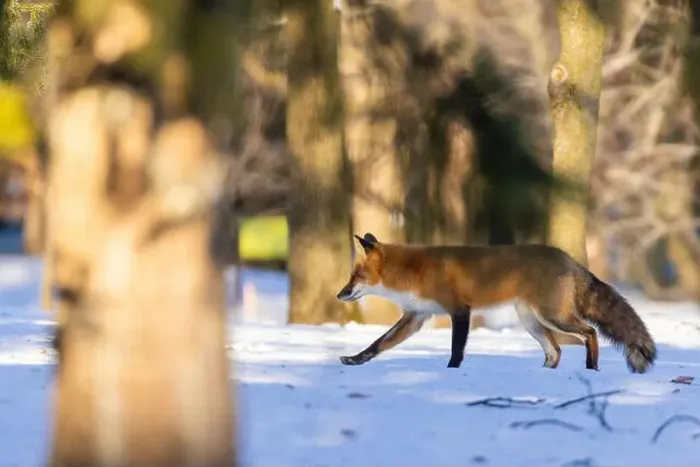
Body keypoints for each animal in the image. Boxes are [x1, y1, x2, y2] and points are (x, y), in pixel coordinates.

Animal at [336, 233, 657, 374]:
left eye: (355, 276)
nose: (340, 295)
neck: (413, 273)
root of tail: (569, 259)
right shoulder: (416, 316)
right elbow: (378, 344)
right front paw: (355, 360)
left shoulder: (459, 309)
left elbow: (456, 348)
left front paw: (451, 371)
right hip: (533, 322)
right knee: (556, 351)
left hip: (552, 316)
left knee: (589, 333)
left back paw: (591, 368)